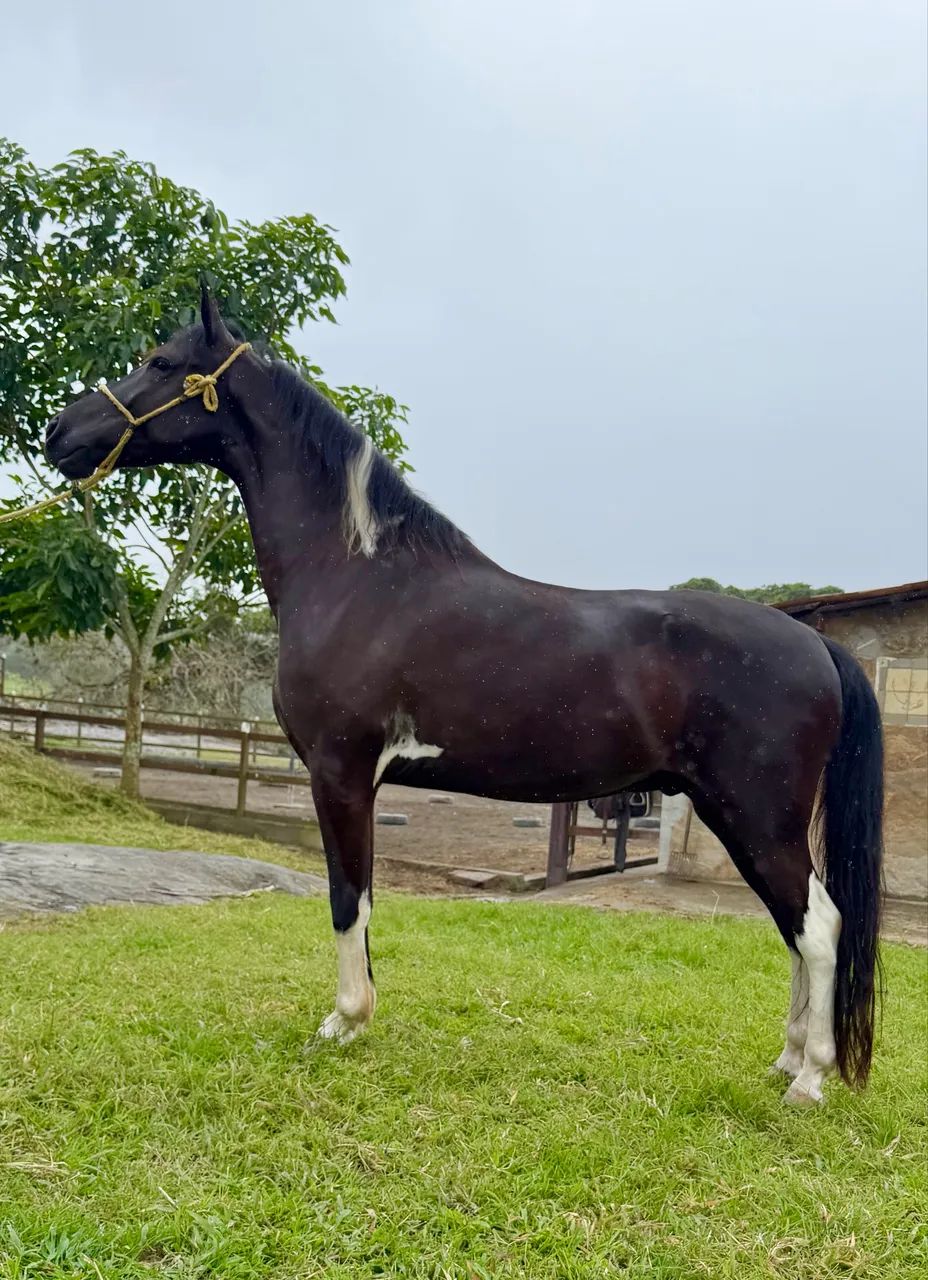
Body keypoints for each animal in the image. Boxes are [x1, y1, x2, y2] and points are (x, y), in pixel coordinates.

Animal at [45, 287, 884, 1105]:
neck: (356, 576)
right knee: (796, 926)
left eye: (160, 361)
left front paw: (343, 1022)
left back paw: (810, 1078)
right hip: (737, 814)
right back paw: (786, 1059)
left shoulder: (339, 773)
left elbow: (349, 897)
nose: (59, 433)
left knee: (819, 926)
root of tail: (815, 644)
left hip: (757, 815)